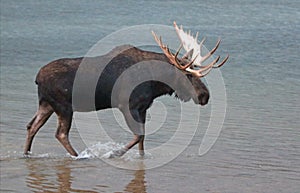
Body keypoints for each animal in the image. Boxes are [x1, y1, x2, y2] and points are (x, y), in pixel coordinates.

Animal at [24, 22, 229, 158]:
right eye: (188, 75)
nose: (205, 96)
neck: (155, 82)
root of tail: (37, 78)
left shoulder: (143, 108)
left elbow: (142, 139)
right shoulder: (127, 105)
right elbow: (139, 135)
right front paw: (114, 153)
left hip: (46, 104)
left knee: (32, 126)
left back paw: (27, 153)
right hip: (64, 107)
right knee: (60, 133)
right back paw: (79, 156)